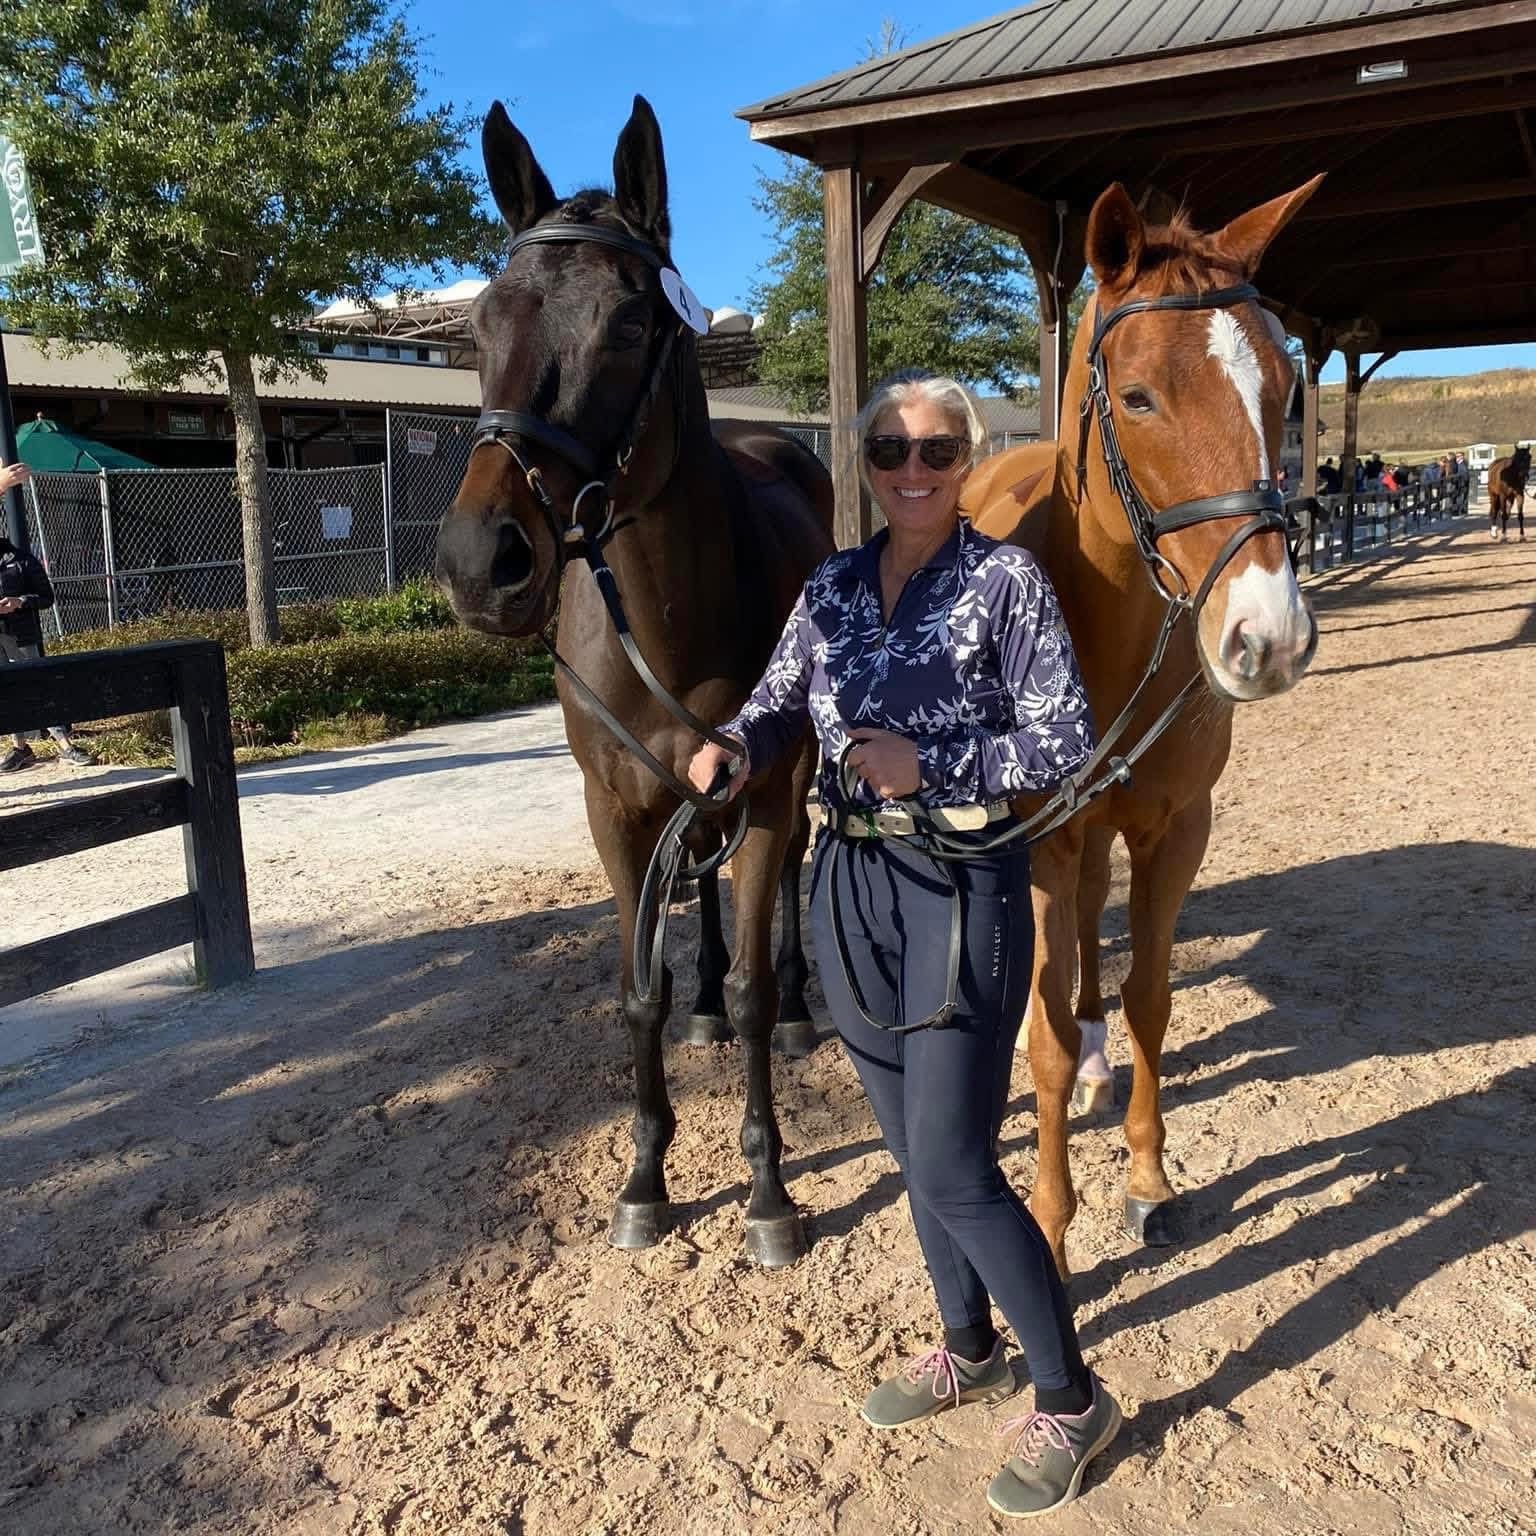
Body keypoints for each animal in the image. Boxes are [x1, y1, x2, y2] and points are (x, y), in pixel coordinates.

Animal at [435, 96, 834, 1268]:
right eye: (482, 324)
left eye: (624, 324)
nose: (481, 561)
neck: (671, 615)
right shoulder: (612, 807)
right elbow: (637, 993)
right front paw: (646, 1178)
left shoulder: (757, 790)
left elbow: (751, 989)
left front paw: (768, 1191)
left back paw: (800, 1011)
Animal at [962, 177, 1322, 1275]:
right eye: (1137, 399)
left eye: (1283, 389)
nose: (1270, 637)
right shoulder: (1038, 844)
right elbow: (1039, 1031)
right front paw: (1048, 1219)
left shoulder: (1174, 830)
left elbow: (1149, 1000)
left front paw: (1149, 1180)